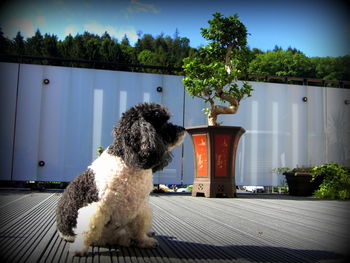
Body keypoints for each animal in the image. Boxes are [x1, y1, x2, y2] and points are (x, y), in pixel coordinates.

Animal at [56, 103, 185, 256]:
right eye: (163, 123)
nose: (183, 129)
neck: (127, 160)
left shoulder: (140, 208)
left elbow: (139, 228)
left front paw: (144, 241)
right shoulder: (97, 207)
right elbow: (88, 230)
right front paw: (80, 248)